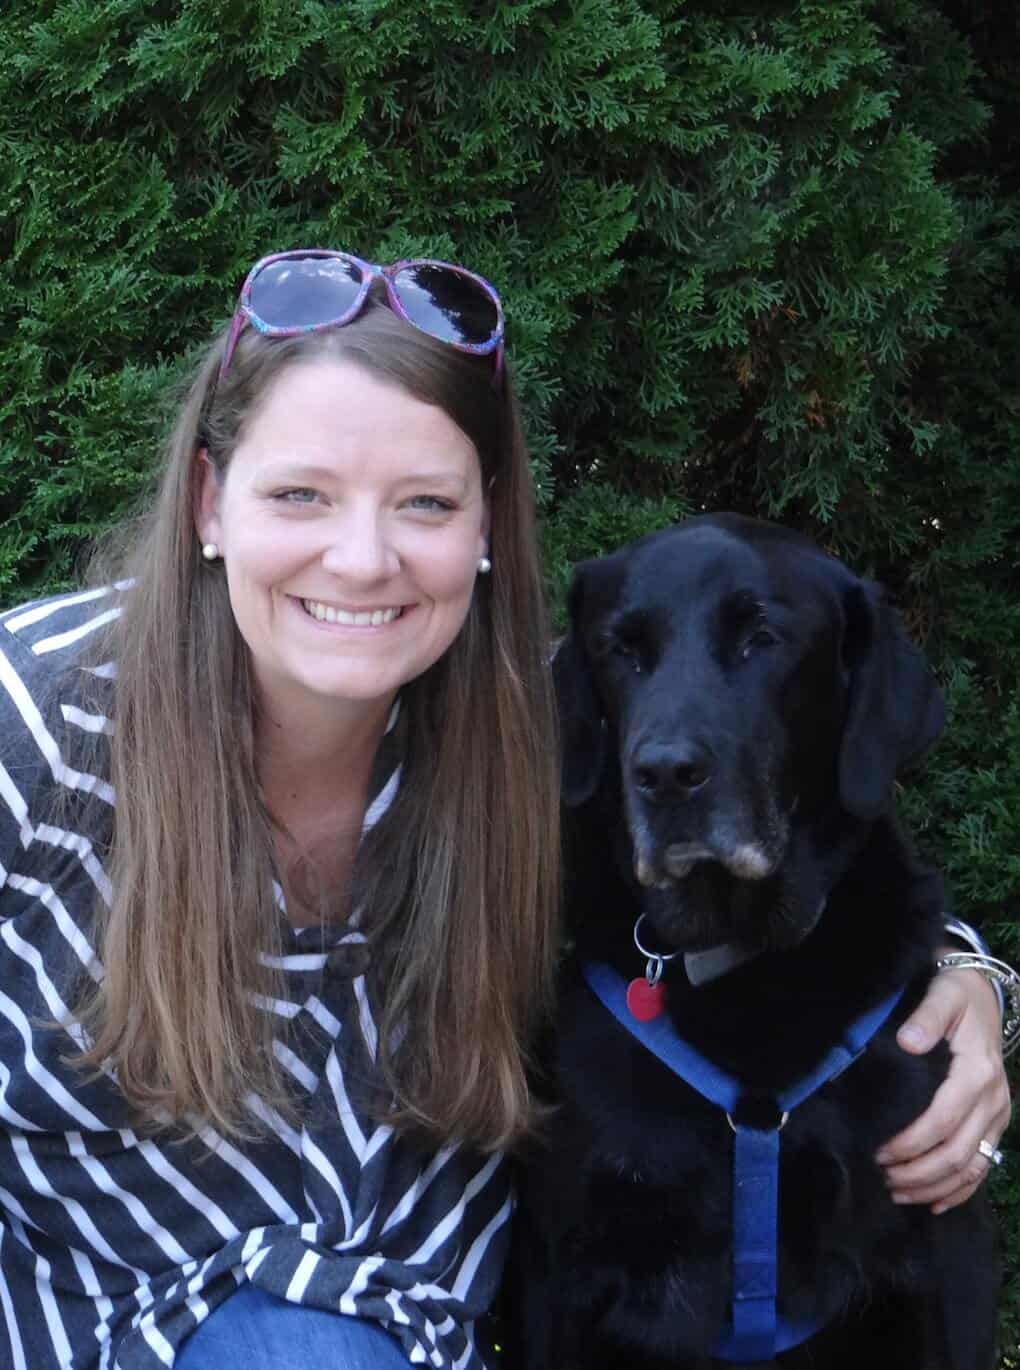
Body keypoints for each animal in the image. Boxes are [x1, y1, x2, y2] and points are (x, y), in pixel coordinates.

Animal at [512, 514, 998, 1370]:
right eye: (621, 649)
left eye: (762, 639)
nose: (665, 773)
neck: (747, 958)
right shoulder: (560, 1272)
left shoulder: (943, 1254)